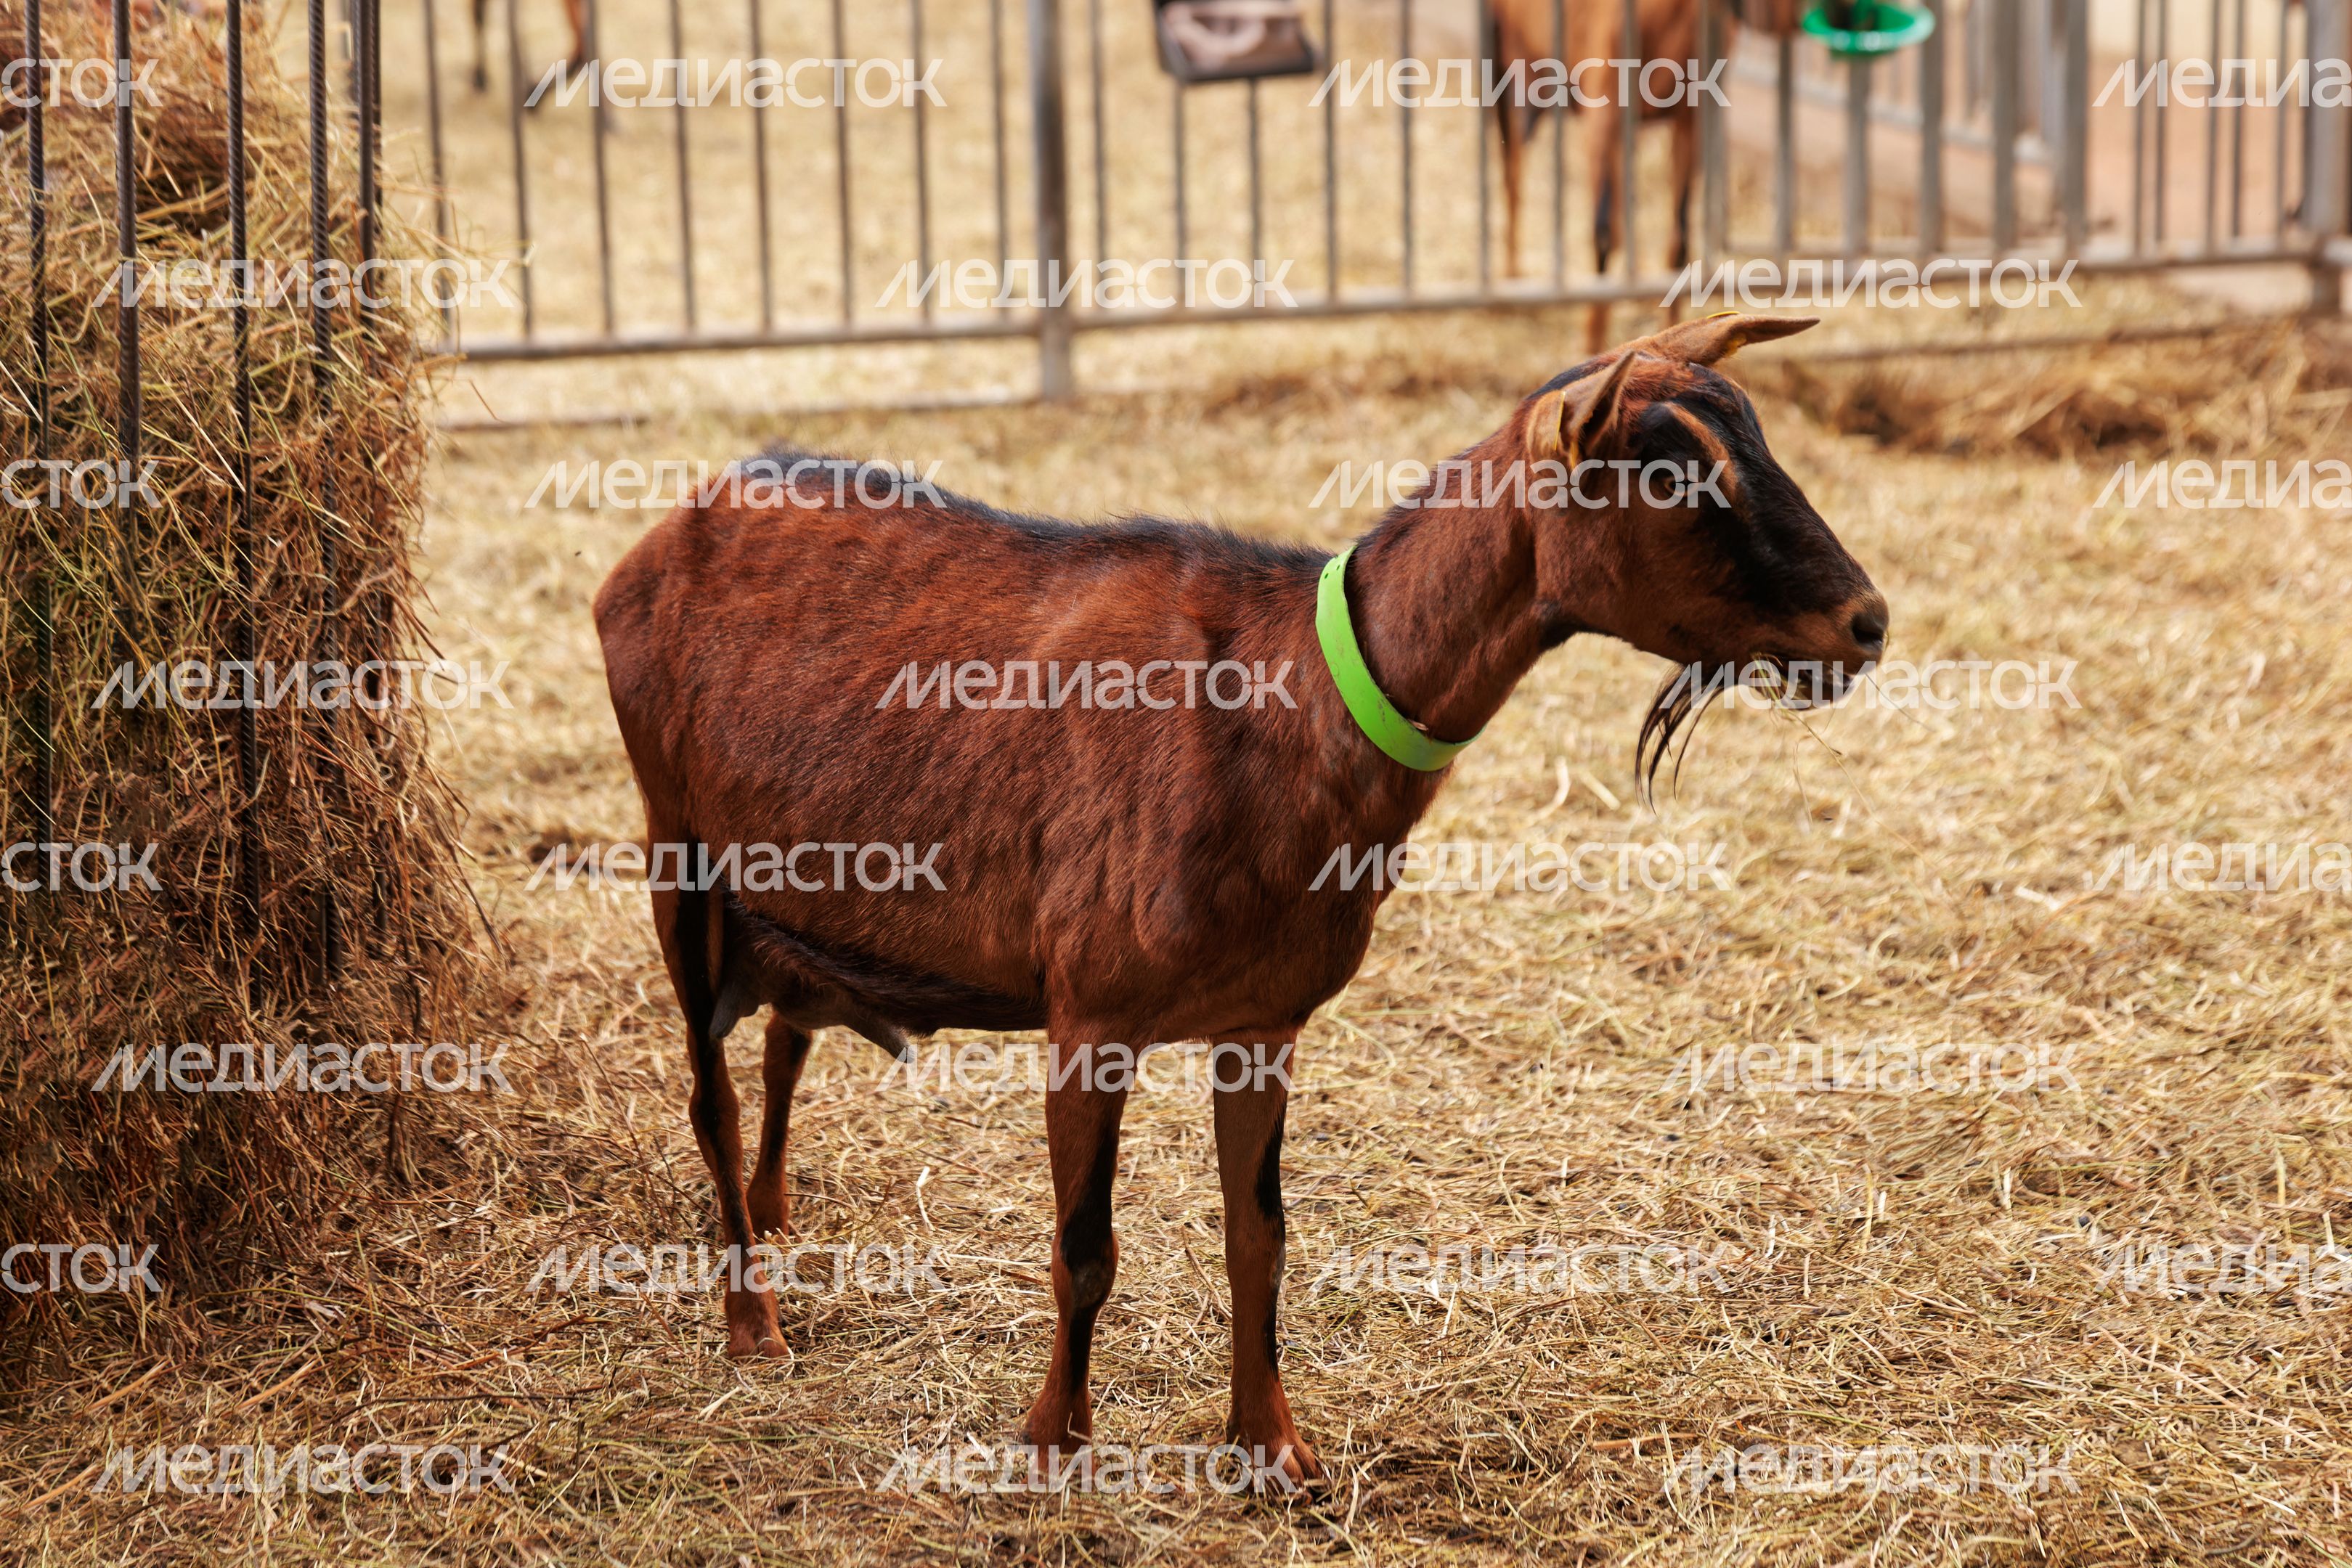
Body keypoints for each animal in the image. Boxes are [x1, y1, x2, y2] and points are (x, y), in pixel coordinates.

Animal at [592, 314, 1888, 1486]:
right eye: (1672, 475)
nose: (1863, 623)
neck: (1286, 701)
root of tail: (664, 534)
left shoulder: (1263, 1021)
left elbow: (1257, 1240)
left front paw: (1271, 1447)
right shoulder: (1088, 1013)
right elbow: (1084, 1245)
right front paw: (1052, 1443)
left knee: (785, 1037)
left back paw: (776, 1215)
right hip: (677, 849)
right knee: (708, 1096)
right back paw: (750, 1321)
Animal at [1486, 0, 1730, 350]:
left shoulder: (1692, 117)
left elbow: (1679, 239)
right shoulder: (1604, 107)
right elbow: (1603, 231)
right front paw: (1593, 344)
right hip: (1515, 69)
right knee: (1513, 171)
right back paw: (1508, 280)